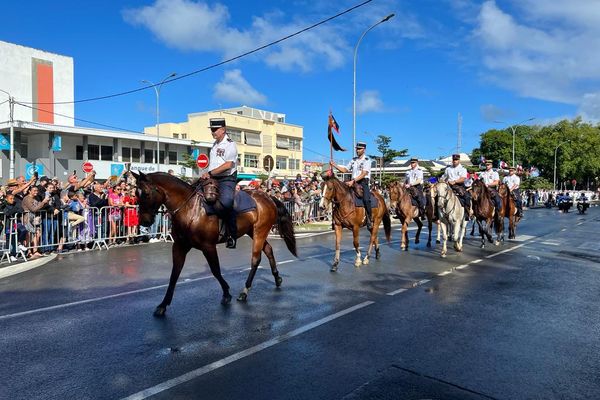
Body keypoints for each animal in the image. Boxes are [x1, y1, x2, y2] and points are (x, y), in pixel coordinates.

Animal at [133, 172, 298, 316]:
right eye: (135, 193)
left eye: (146, 193)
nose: (144, 221)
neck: (190, 210)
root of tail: (268, 196)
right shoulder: (179, 246)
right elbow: (174, 274)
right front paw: (163, 304)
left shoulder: (208, 246)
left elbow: (215, 270)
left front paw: (226, 293)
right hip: (253, 232)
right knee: (269, 250)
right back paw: (277, 278)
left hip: (260, 231)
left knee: (255, 259)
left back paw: (245, 291)